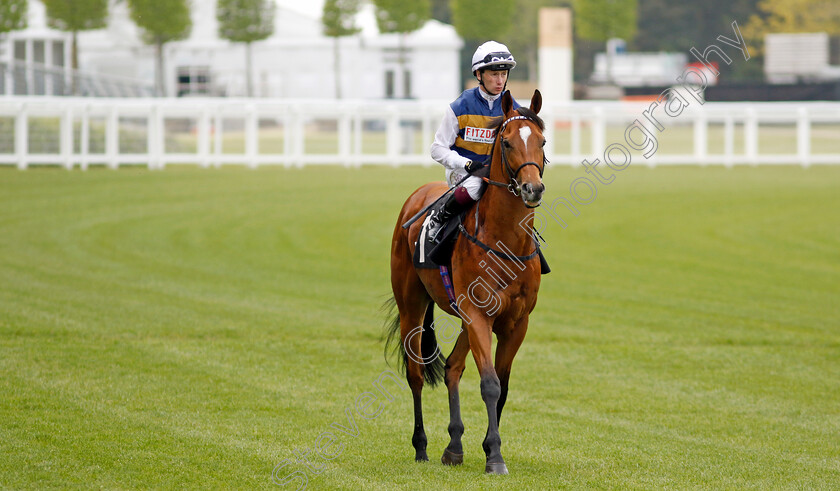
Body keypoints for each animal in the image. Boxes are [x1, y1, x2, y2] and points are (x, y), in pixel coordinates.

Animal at [386, 90, 548, 474]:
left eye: (542, 141)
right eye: (507, 142)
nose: (532, 189)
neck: (505, 242)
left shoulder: (515, 322)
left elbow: (502, 386)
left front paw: (489, 448)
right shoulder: (478, 315)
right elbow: (489, 384)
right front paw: (495, 456)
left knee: (452, 368)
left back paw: (454, 446)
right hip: (411, 306)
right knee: (416, 373)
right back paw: (421, 446)